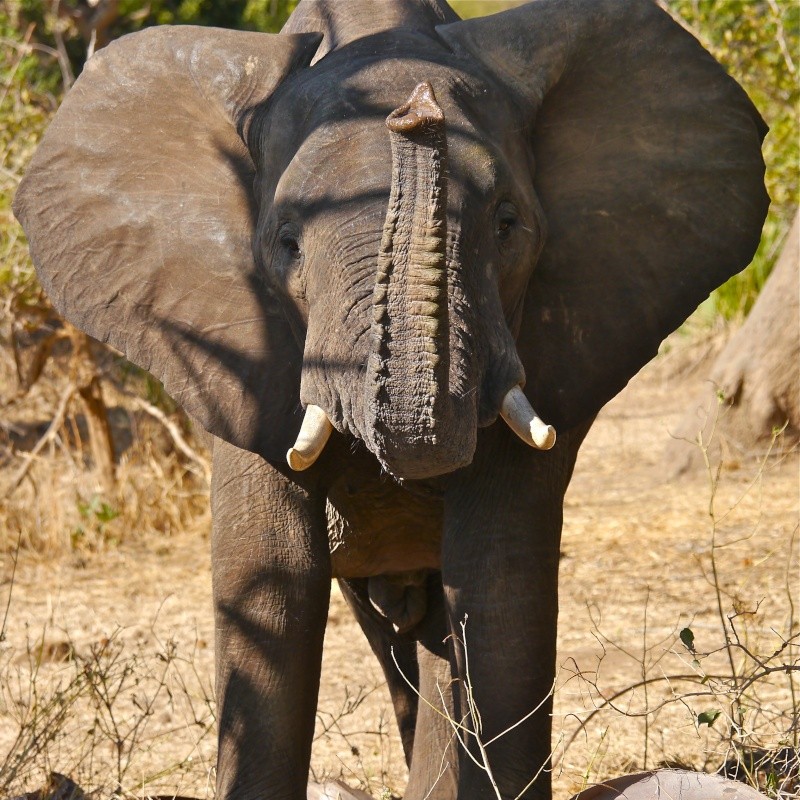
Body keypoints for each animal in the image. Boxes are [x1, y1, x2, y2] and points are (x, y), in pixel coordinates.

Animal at [14, 1, 768, 800]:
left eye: (507, 224)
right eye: (286, 242)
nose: (414, 110)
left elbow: (498, 577)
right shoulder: (250, 368)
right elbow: (272, 580)